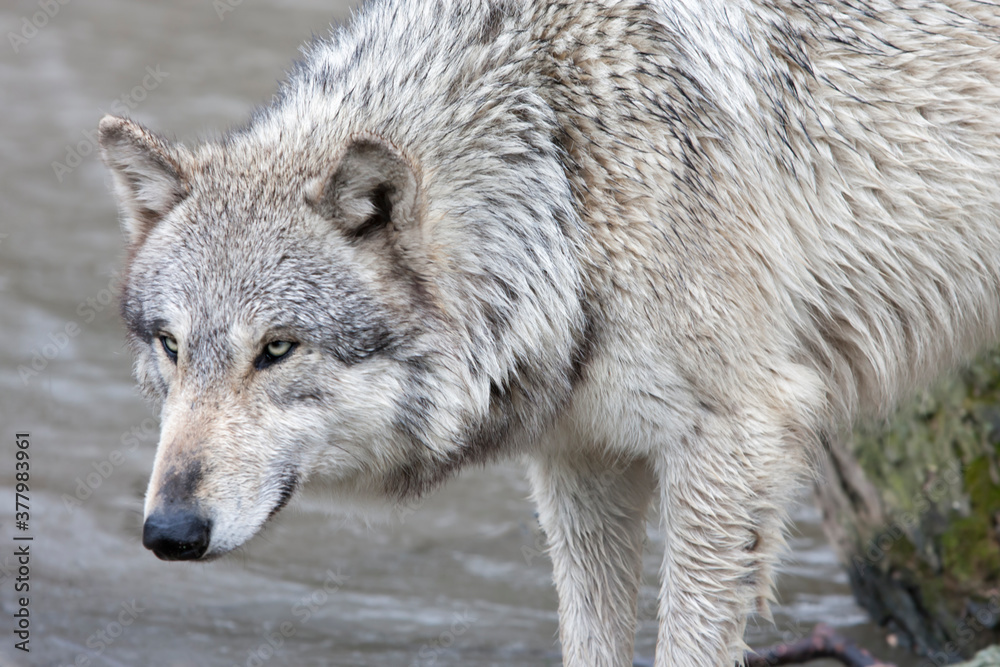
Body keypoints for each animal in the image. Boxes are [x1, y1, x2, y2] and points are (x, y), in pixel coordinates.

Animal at [97, 0, 1000, 664]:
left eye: (277, 348)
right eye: (172, 346)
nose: (169, 532)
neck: (563, 178)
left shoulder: (733, 444)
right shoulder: (581, 459)